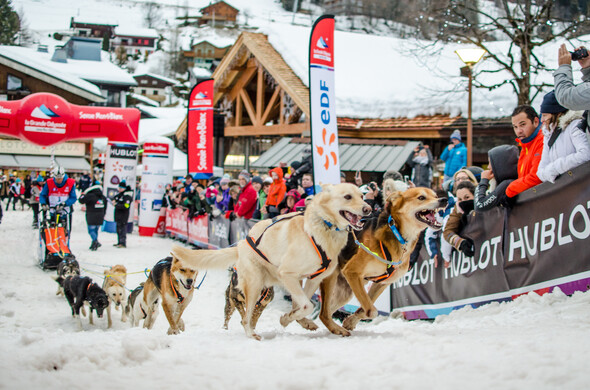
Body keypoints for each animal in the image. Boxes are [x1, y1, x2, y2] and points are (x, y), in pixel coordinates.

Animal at [171, 183, 372, 338]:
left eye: (362, 195)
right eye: (347, 196)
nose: (368, 209)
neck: (324, 226)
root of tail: (241, 243)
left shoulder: (313, 278)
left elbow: (303, 305)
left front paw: (296, 320)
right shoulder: (288, 275)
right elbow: (307, 305)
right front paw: (289, 319)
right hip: (254, 285)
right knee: (245, 318)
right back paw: (251, 335)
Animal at [320, 187, 448, 336]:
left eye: (435, 195)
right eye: (421, 197)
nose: (444, 200)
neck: (397, 233)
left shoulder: (382, 283)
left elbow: (364, 309)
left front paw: (350, 321)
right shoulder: (352, 272)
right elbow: (371, 310)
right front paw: (353, 319)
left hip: (345, 292)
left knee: (324, 312)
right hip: (331, 279)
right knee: (323, 313)